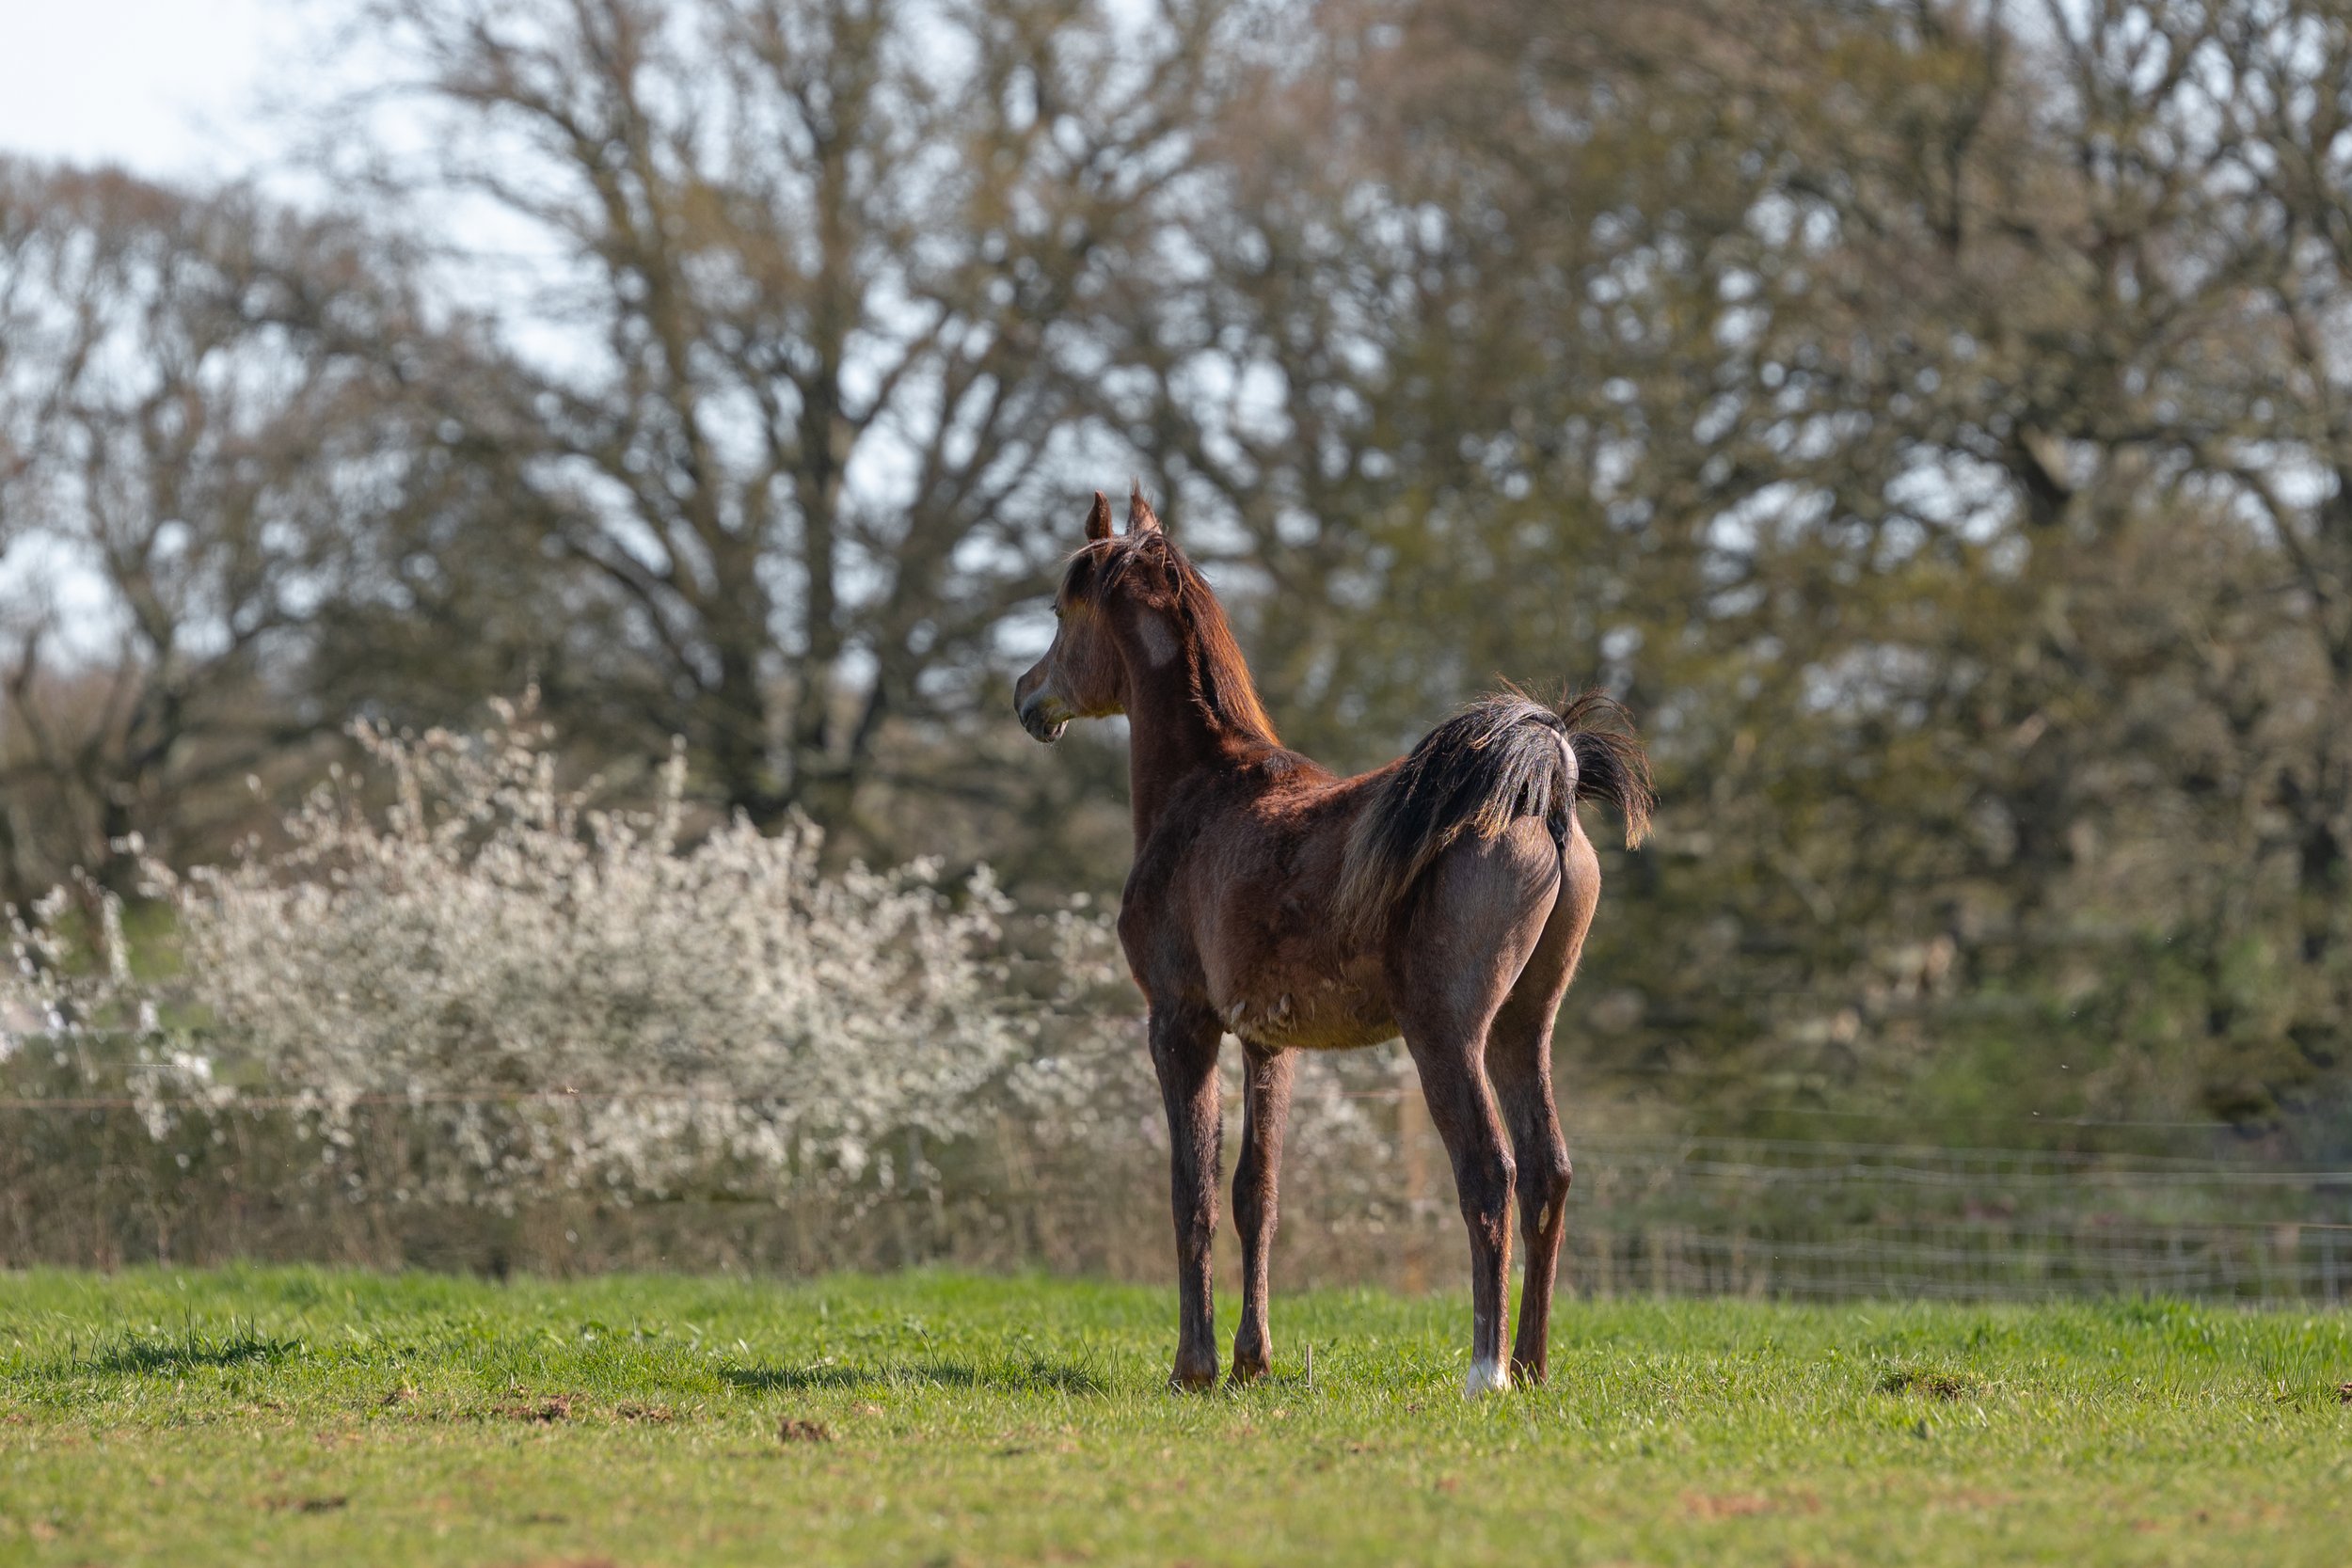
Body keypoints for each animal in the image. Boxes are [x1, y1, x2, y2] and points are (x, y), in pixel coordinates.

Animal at [1014, 485, 1653, 1395]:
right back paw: (1531, 1365)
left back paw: (1486, 1369)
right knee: (1548, 1171)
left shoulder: (1180, 1022)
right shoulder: (1268, 1041)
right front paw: (1252, 1359)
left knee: (1490, 1171)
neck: (1205, 791)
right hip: (1523, 1029)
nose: (1026, 694)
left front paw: (1193, 1365)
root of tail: (1548, 789)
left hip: (1447, 1035)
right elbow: (1257, 1192)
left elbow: (1192, 1190)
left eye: (1062, 612)